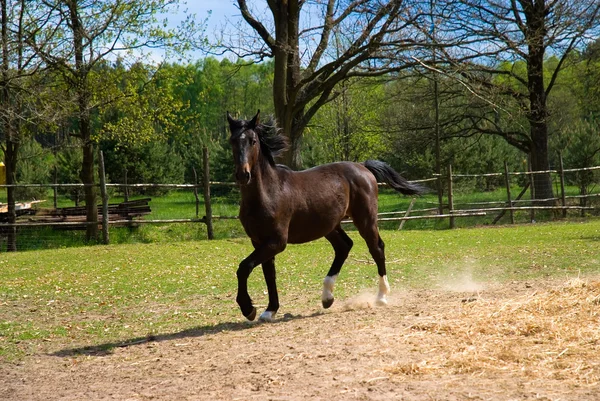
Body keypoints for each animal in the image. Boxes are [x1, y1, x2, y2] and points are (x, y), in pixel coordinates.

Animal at [226, 111, 422, 320]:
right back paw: (327, 298)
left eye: (253, 141)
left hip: (366, 220)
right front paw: (269, 310)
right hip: (330, 226)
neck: (268, 193)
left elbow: (244, 267)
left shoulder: (277, 241)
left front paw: (248, 309)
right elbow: (268, 274)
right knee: (344, 246)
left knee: (376, 248)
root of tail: (363, 167)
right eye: (232, 141)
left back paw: (381, 297)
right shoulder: (259, 241)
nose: (243, 175)